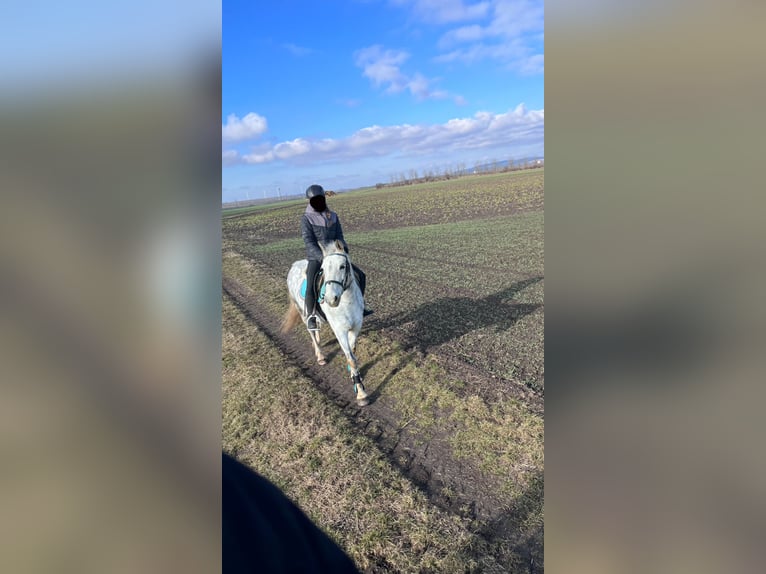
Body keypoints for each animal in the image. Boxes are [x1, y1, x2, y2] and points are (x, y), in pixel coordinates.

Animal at [282, 241, 372, 408]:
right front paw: (361, 394)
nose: (331, 299)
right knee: (311, 330)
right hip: (302, 312)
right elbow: (351, 358)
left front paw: (354, 376)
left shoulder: (356, 327)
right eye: (323, 269)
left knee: (316, 326)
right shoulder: (340, 331)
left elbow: (352, 352)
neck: (346, 302)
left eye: (342, 266)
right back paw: (320, 355)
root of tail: (294, 264)